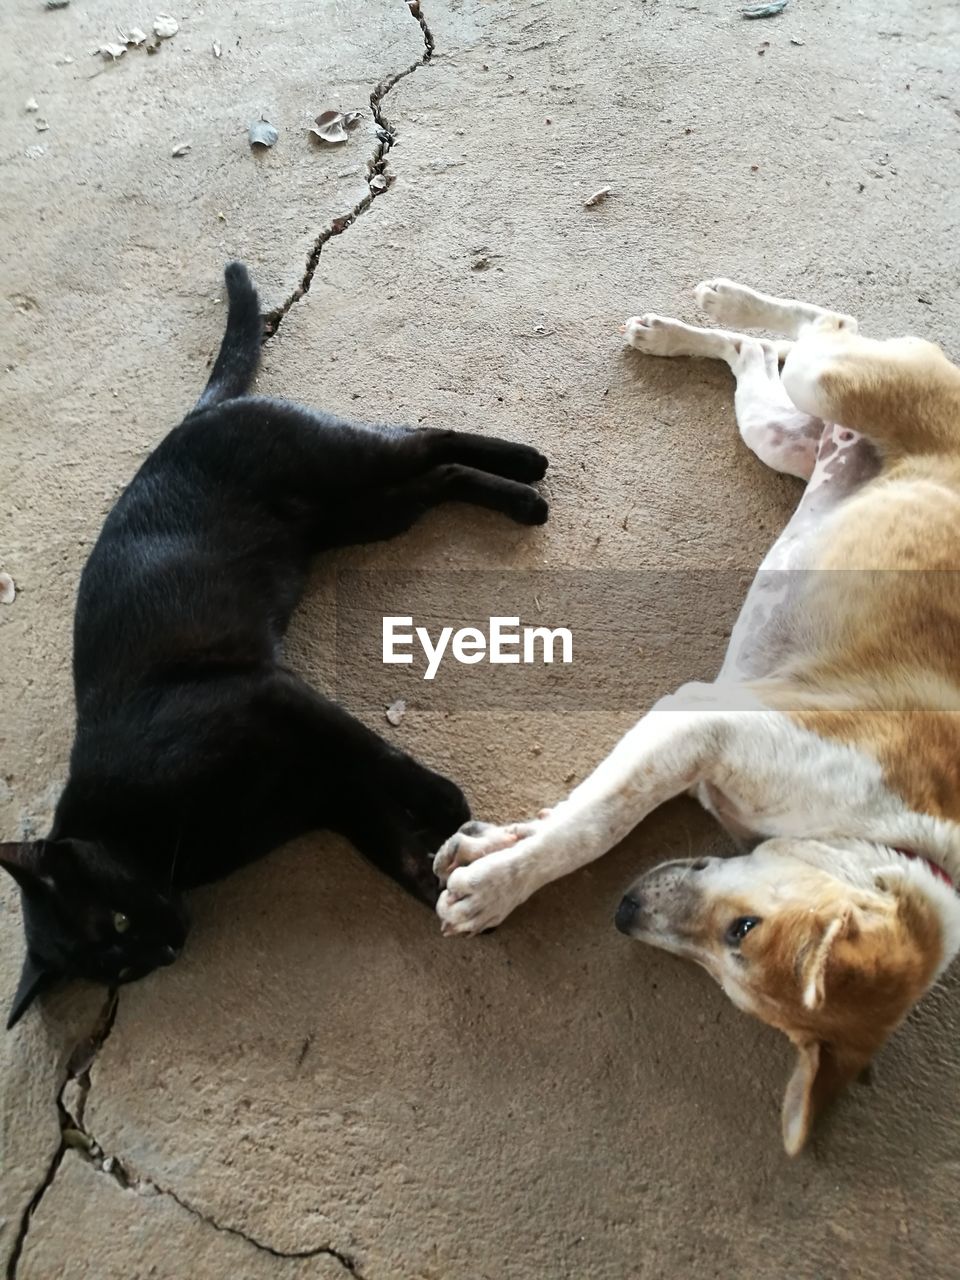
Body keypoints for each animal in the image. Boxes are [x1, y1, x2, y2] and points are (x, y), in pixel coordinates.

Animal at [1, 262, 547, 1029]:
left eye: (115, 923)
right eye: (121, 966)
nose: (166, 947)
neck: (167, 837)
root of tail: (193, 416)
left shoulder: (274, 698)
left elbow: (379, 754)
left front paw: (445, 805)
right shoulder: (327, 794)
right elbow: (397, 852)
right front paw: (461, 894)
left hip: (345, 467)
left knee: (426, 437)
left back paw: (528, 468)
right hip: (372, 513)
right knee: (434, 477)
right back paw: (519, 495)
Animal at [432, 282, 960, 1162]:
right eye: (745, 929)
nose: (622, 915)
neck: (890, 838)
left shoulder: (686, 747)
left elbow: (578, 810)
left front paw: (491, 855)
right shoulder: (695, 723)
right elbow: (594, 826)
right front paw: (500, 888)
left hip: (790, 436)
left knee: (758, 358)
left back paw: (676, 329)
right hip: (831, 383)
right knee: (823, 328)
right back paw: (720, 304)